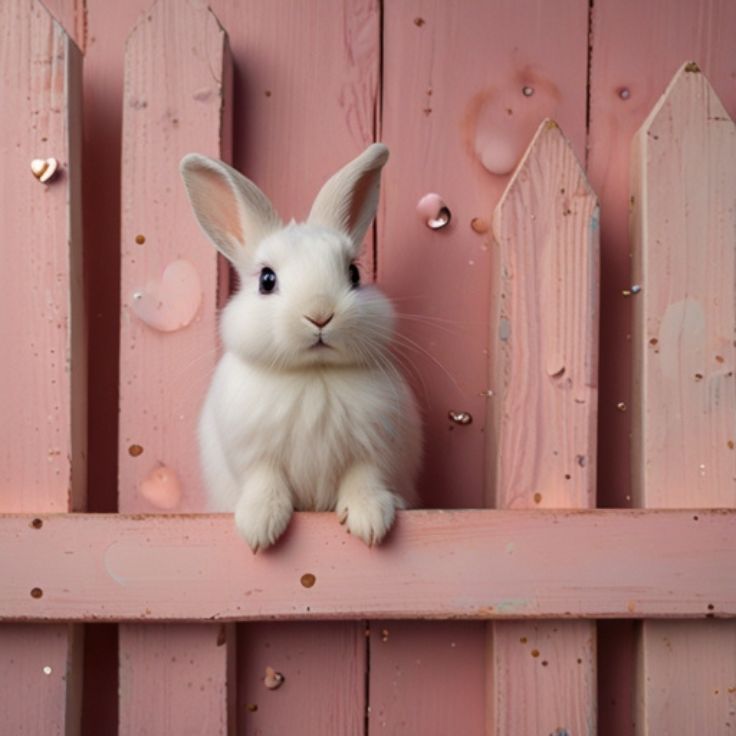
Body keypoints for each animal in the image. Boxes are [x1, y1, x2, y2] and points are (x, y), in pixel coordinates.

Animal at [180, 143, 421, 551]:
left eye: (354, 274)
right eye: (266, 280)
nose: (320, 314)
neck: (314, 373)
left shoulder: (375, 450)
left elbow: (364, 479)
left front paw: (370, 522)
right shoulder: (254, 455)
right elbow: (265, 482)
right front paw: (259, 528)